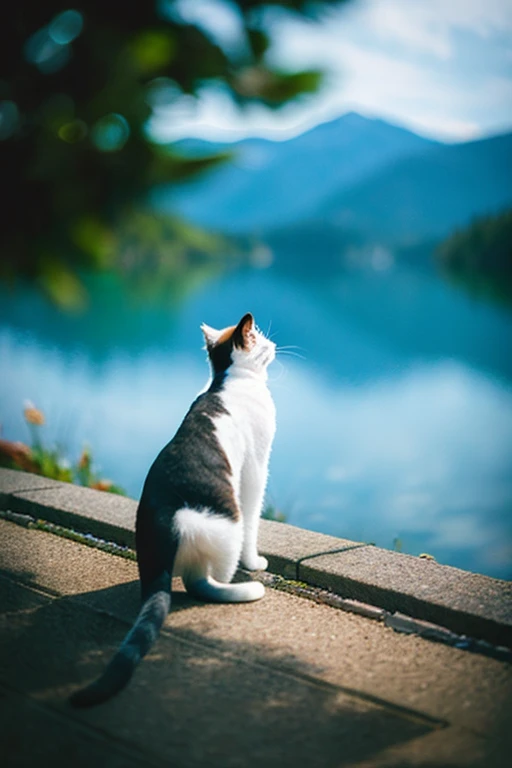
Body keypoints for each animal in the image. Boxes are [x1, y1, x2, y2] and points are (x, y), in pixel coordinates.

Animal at [71, 314, 276, 708]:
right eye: (258, 335)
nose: (273, 345)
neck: (226, 379)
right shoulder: (256, 469)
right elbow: (255, 518)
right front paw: (255, 562)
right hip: (219, 522)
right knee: (200, 582)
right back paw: (241, 589)